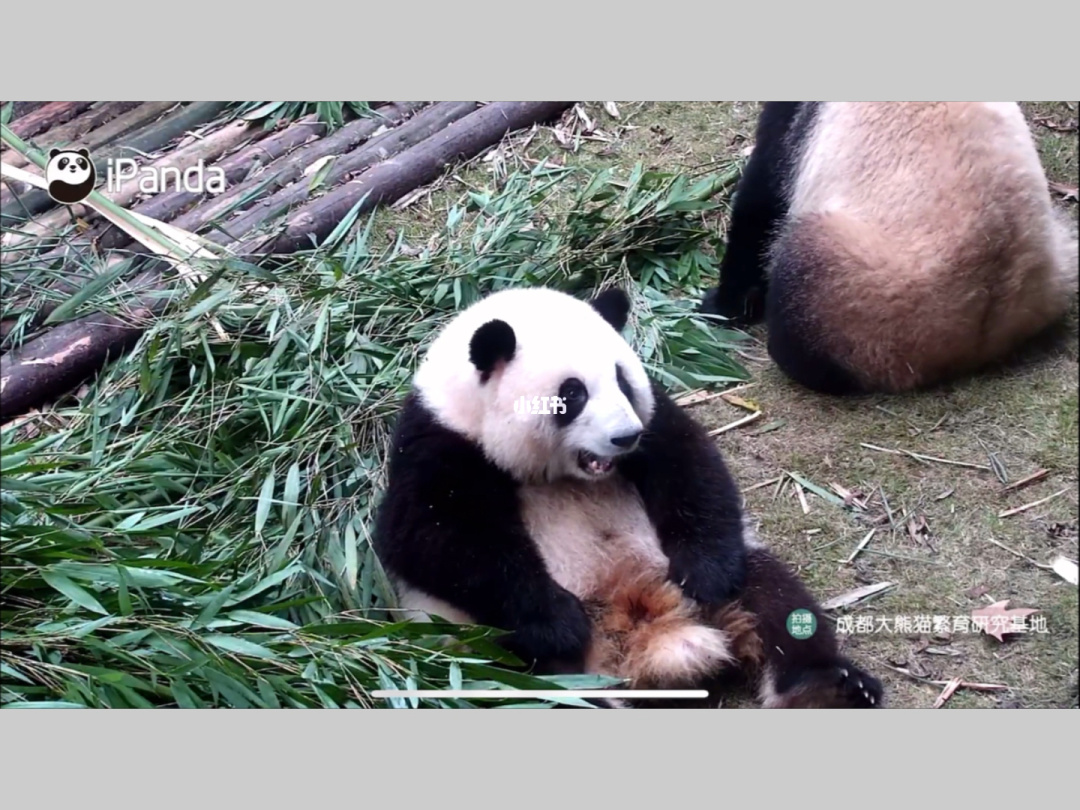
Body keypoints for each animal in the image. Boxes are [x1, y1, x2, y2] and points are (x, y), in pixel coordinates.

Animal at [375, 287, 881, 708]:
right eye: (572, 393)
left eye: (622, 379)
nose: (624, 437)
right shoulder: (438, 444)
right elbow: (434, 539)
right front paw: (560, 620)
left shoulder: (655, 416)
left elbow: (690, 467)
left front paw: (704, 574)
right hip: (483, 650)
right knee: (536, 687)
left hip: (726, 570)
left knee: (777, 600)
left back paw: (826, 689)